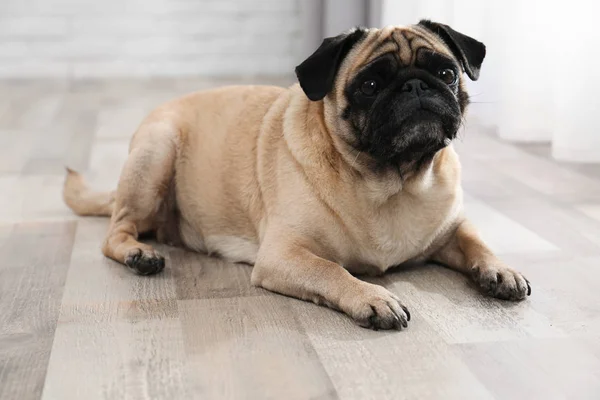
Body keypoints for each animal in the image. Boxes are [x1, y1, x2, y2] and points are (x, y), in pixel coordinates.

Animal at [64, 20, 528, 330]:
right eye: (370, 85)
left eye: (447, 73)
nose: (415, 86)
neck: (392, 180)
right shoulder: (283, 255)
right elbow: (331, 271)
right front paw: (373, 297)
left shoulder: (451, 228)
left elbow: (477, 242)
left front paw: (500, 270)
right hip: (155, 154)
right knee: (116, 230)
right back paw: (138, 255)